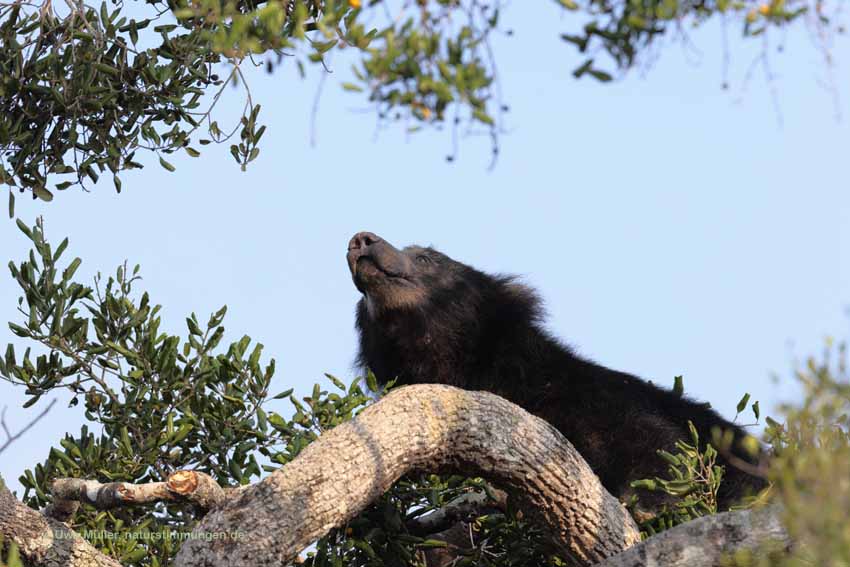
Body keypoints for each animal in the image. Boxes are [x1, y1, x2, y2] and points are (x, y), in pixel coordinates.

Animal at [342, 229, 760, 512]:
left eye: (427, 258)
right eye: (362, 303)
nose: (363, 240)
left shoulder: (575, 392)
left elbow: (653, 436)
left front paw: (644, 498)